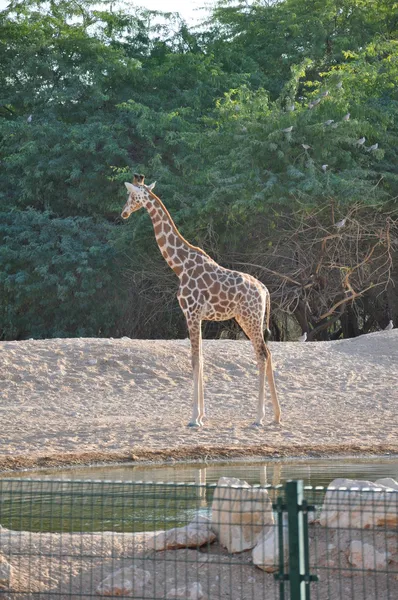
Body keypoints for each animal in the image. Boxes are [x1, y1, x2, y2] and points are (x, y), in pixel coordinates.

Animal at [120, 173, 280, 426]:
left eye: (131, 196)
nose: (123, 213)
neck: (180, 266)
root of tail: (264, 290)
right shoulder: (199, 317)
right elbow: (202, 359)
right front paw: (202, 414)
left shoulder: (191, 313)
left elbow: (195, 360)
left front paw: (194, 417)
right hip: (247, 319)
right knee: (269, 353)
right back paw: (276, 415)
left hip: (251, 318)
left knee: (262, 354)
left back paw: (259, 417)